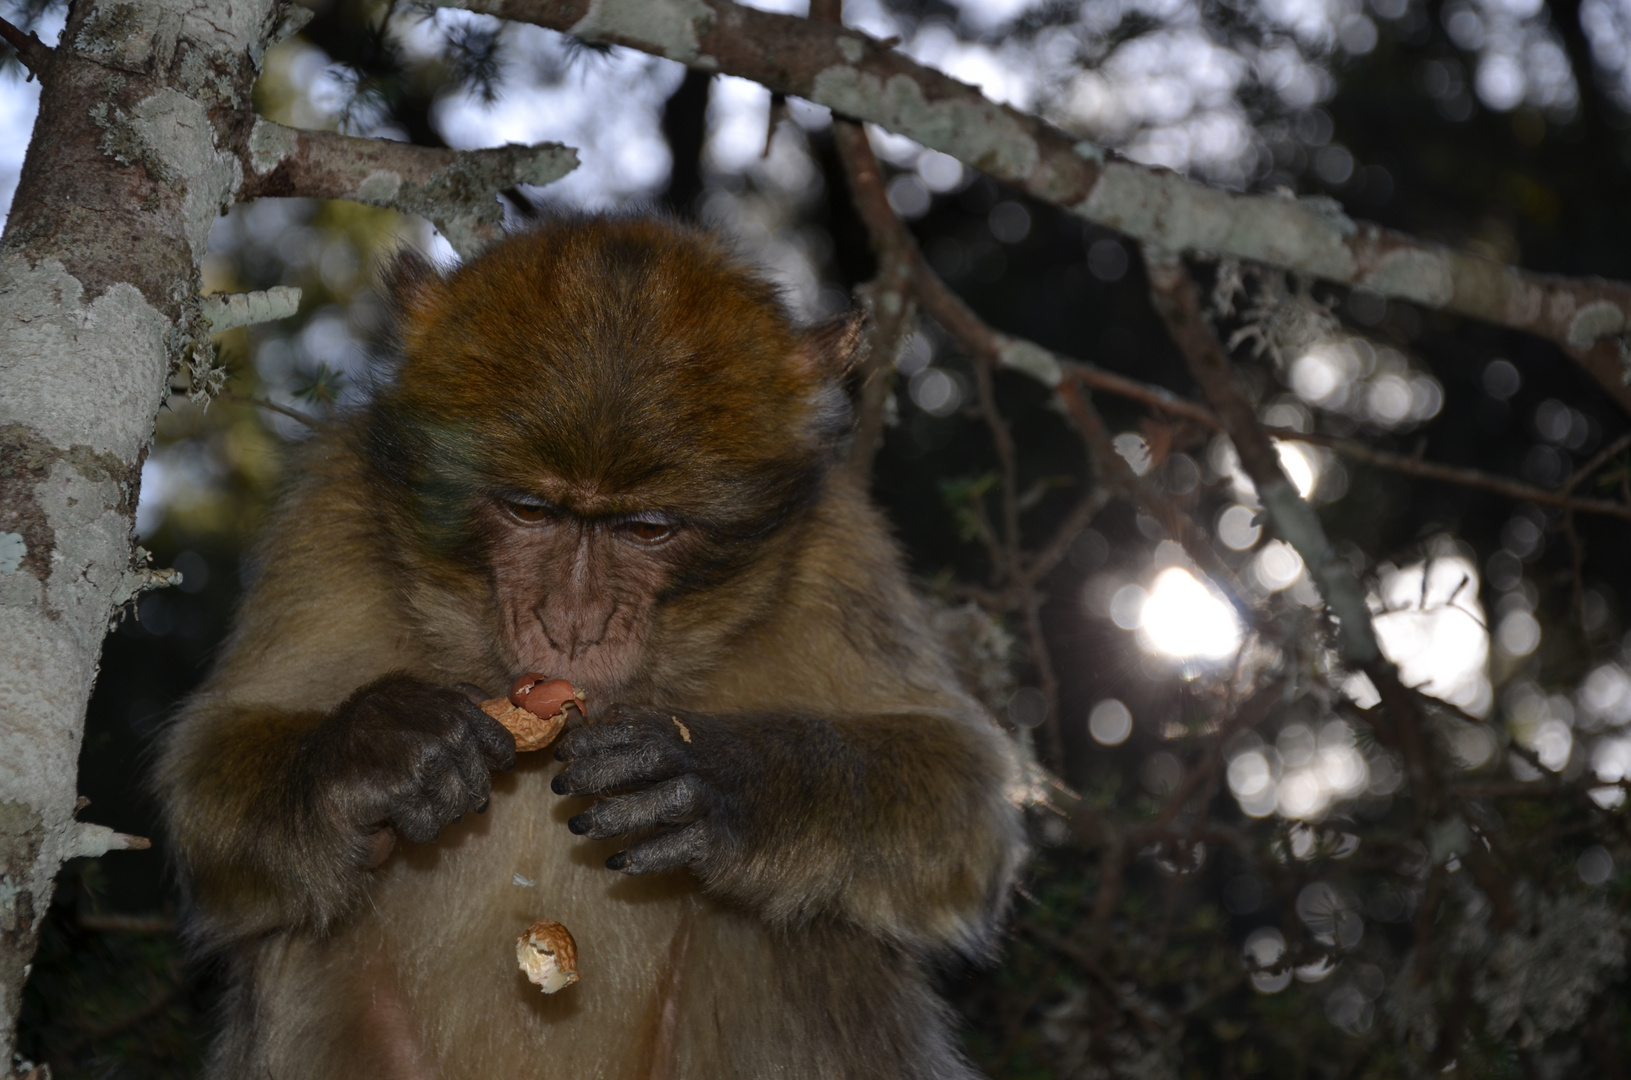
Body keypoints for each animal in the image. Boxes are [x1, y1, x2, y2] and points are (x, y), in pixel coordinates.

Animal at [153, 215, 1017, 1076]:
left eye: (646, 529)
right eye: (531, 510)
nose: (574, 625)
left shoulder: (835, 543)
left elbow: (962, 795)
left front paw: (715, 777)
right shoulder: (332, 504)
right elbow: (208, 778)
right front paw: (376, 754)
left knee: (799, 928)